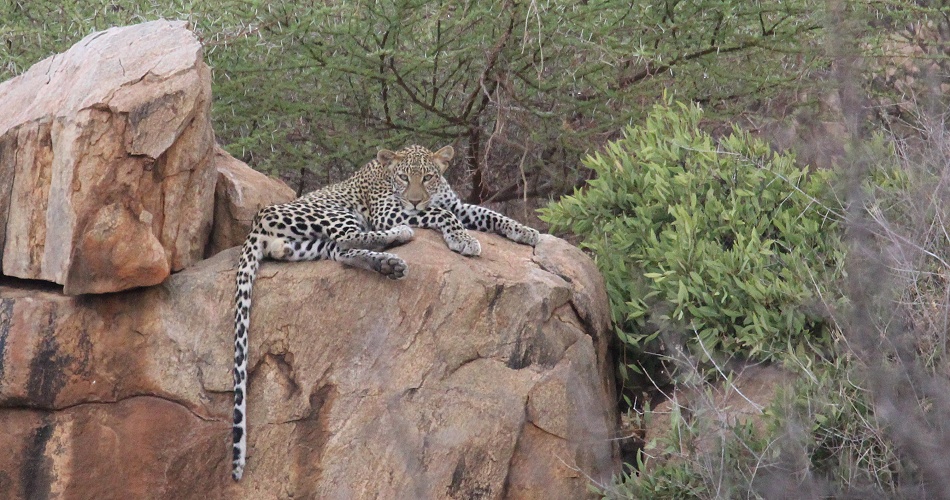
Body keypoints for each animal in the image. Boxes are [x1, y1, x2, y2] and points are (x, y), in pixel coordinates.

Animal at [230, 144, 540, 480]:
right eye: (403, 178)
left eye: (428, 176)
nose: (415, 199)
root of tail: (255, 223)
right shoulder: (391, 211)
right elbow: (441, 214)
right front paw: (464, 239)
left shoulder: (459, 206)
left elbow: (489, 213)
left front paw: (526, 231)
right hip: (333, 212)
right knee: (348, 237)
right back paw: (400, 235)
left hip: (310, 246)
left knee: (340, 251)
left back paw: (388, 264)